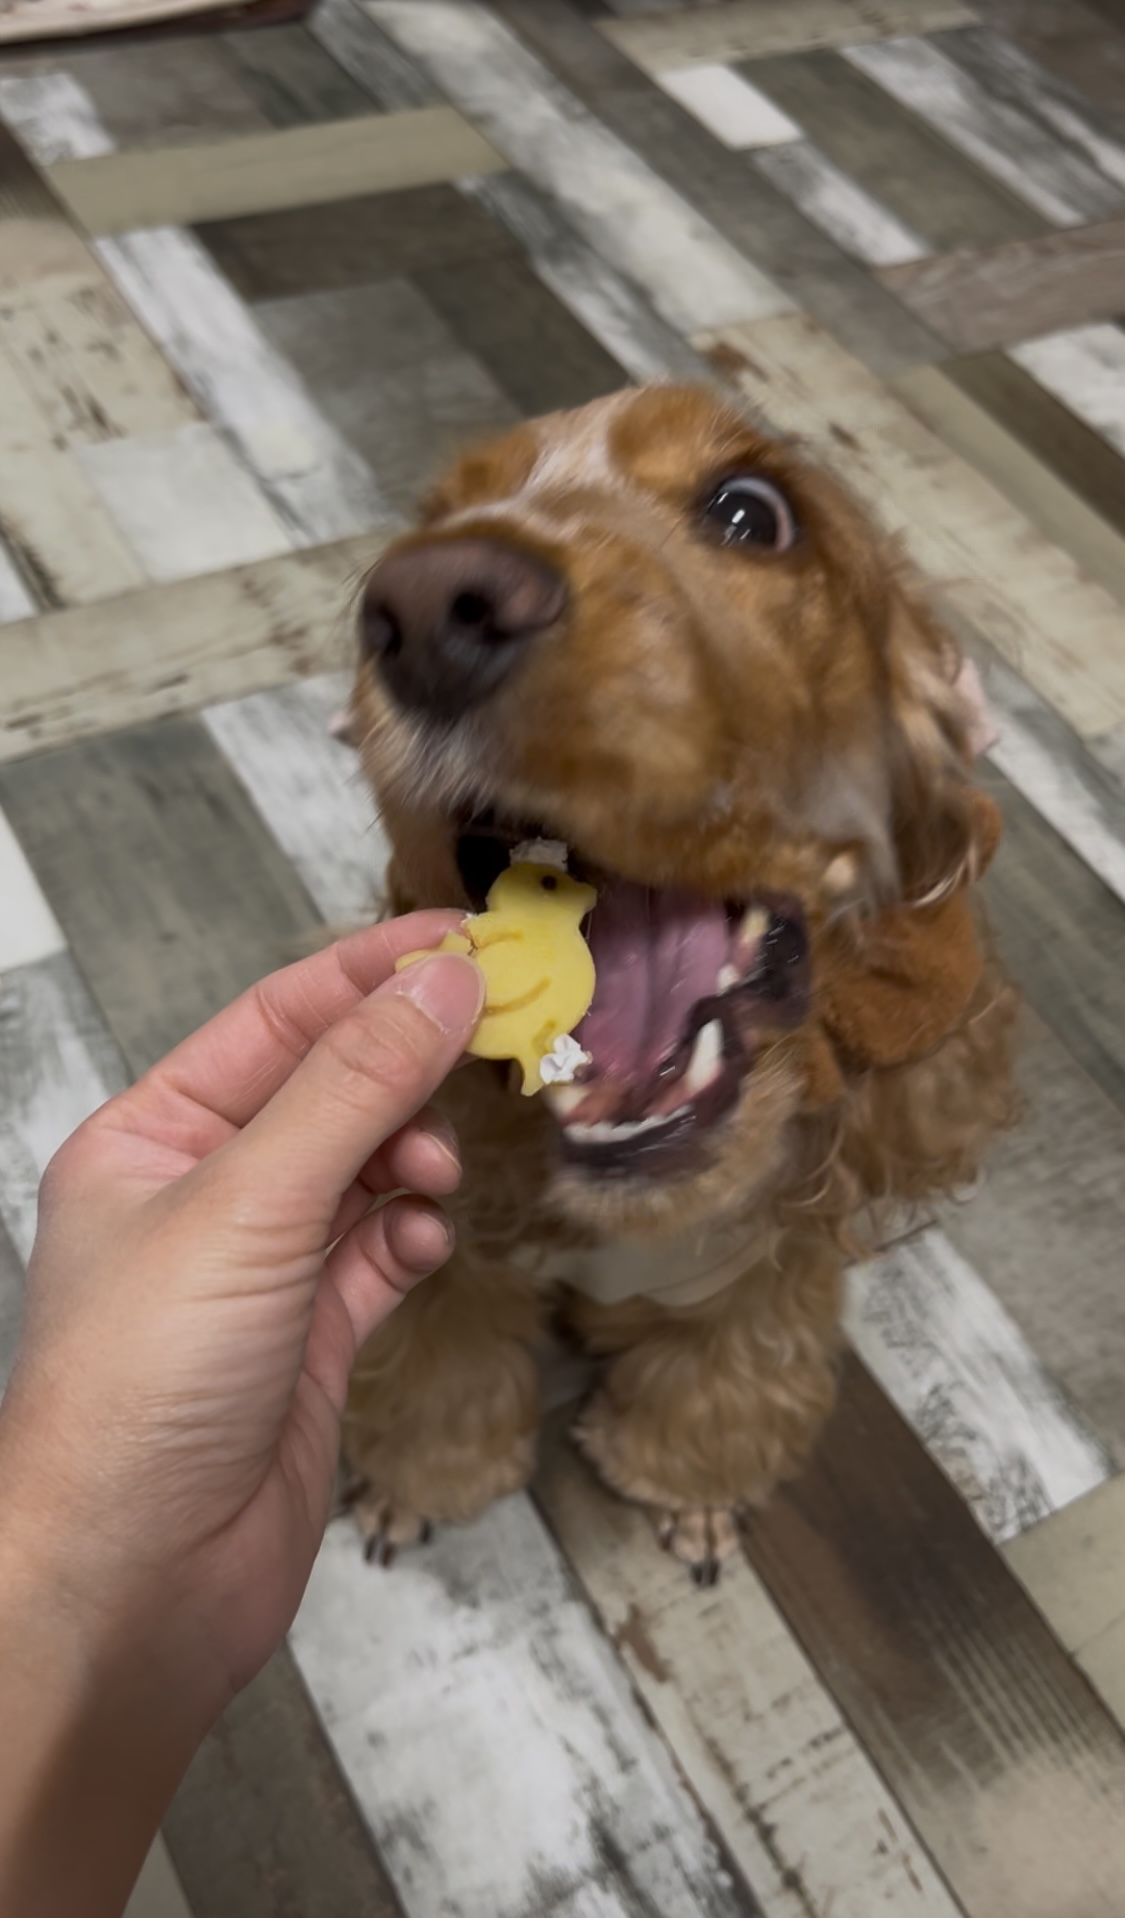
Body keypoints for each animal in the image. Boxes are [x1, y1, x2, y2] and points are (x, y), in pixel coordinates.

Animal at [339, 381, 1019, 1580]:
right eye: (436, 517)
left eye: (750, 511)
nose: (421, 608)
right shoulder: (463, 1251)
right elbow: (435, 1367)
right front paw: (407, 1487)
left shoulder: (769, 1276)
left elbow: (727, 1386)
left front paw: (688, 1495)